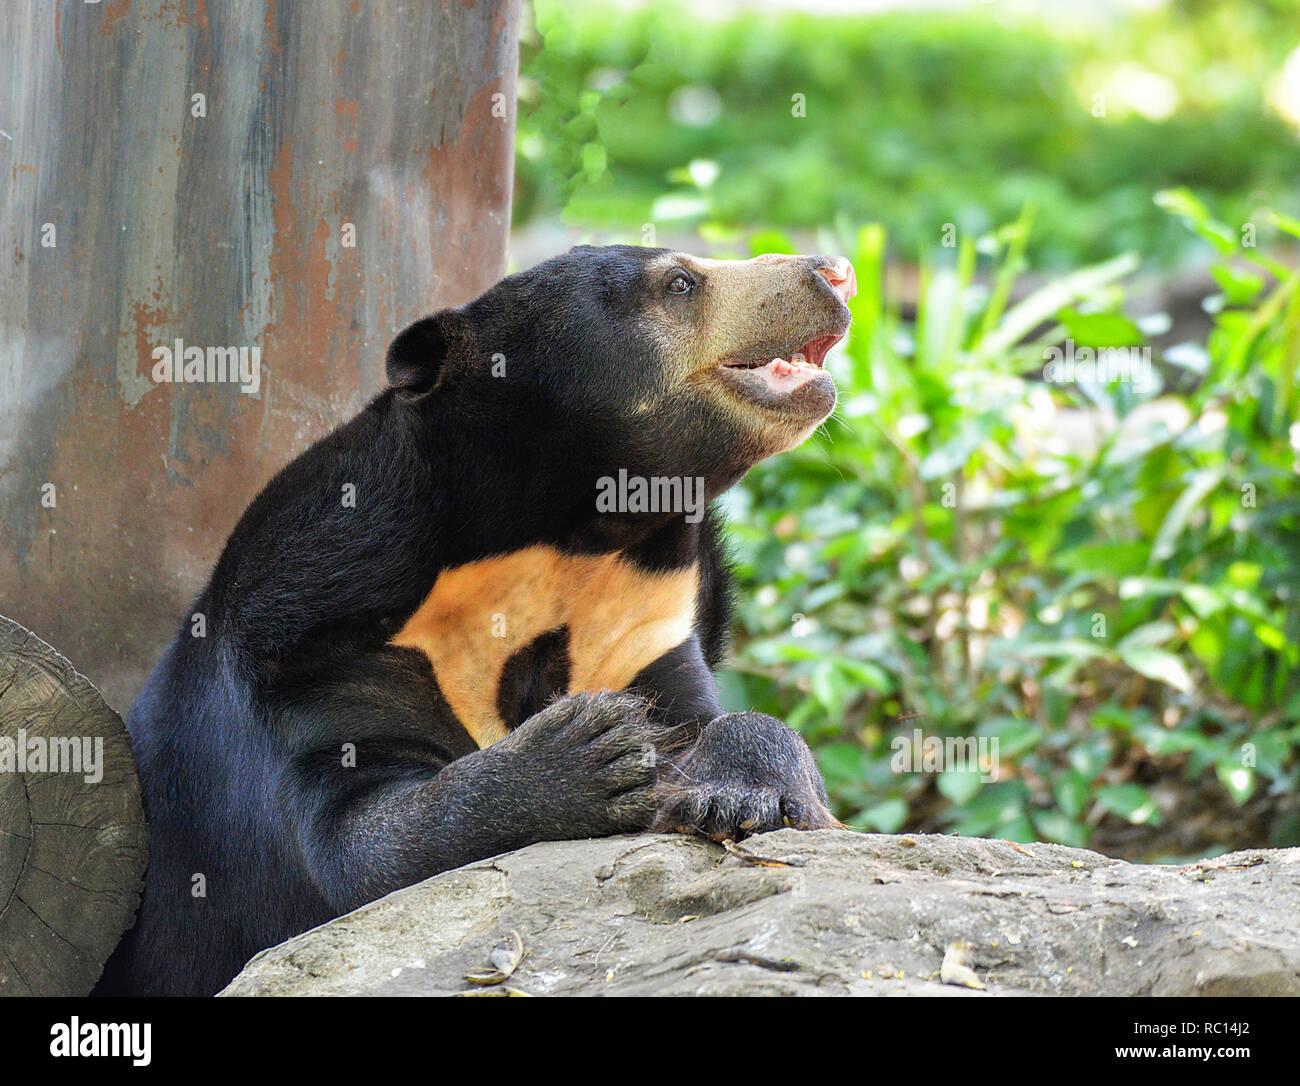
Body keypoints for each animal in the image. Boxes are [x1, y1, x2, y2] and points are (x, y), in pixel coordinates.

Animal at [94, 244, 857, 997]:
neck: (563, 543)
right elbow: (360, 843)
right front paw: (587, 754)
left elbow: (709, 727)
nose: (836, 272)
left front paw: (738, 794)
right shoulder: (312, 639)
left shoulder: (645, 623)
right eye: (678, 283)